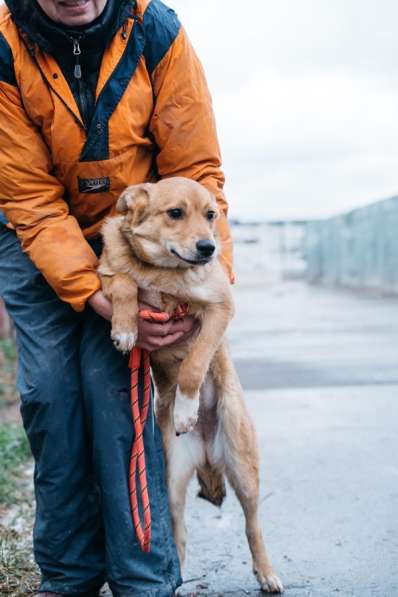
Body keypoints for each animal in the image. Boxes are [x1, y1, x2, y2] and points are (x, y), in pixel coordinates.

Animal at [98, 176, 282, 592]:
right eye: (175, 213)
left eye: (211, 215)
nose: (208, 248)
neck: (165, 272)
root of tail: (208, 453)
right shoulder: (109, 278)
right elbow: (125, 282)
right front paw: (125, 328)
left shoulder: (219, 308)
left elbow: (195, 363)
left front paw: (185, 408)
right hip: (170, 480)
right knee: (178, 531)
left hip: (244, 469)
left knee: (253, 525)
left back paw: (266, 573)